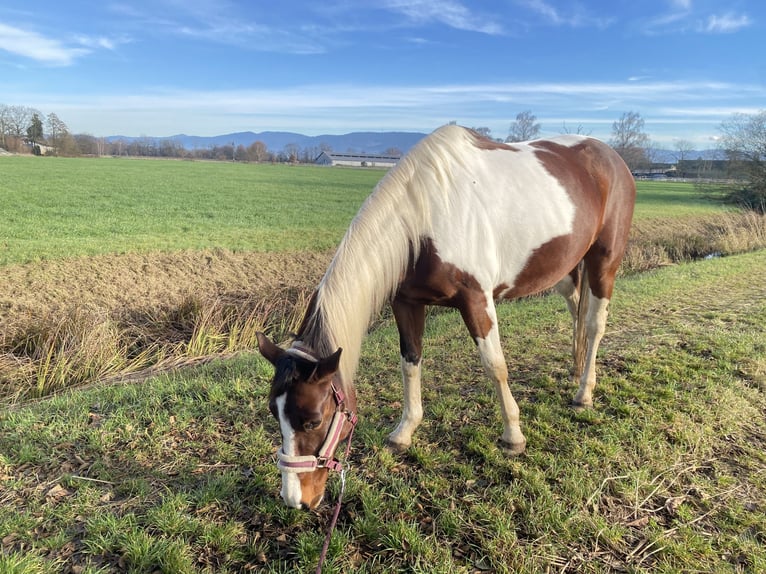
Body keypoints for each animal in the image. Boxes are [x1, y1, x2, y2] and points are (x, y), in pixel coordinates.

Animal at [256, 124, 636, 509]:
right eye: (274, 412)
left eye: (313, 420)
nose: (295, 499)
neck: (425, 219)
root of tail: (612, 157)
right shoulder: (406, 302)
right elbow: (410, 362)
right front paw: (404, 432)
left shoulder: (477, 300)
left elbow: (495, 366)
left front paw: (513, 435)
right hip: (567, 268)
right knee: (576, 310)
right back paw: (575, 371)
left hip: (604, 261)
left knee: (595, 324)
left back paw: (584, 392)